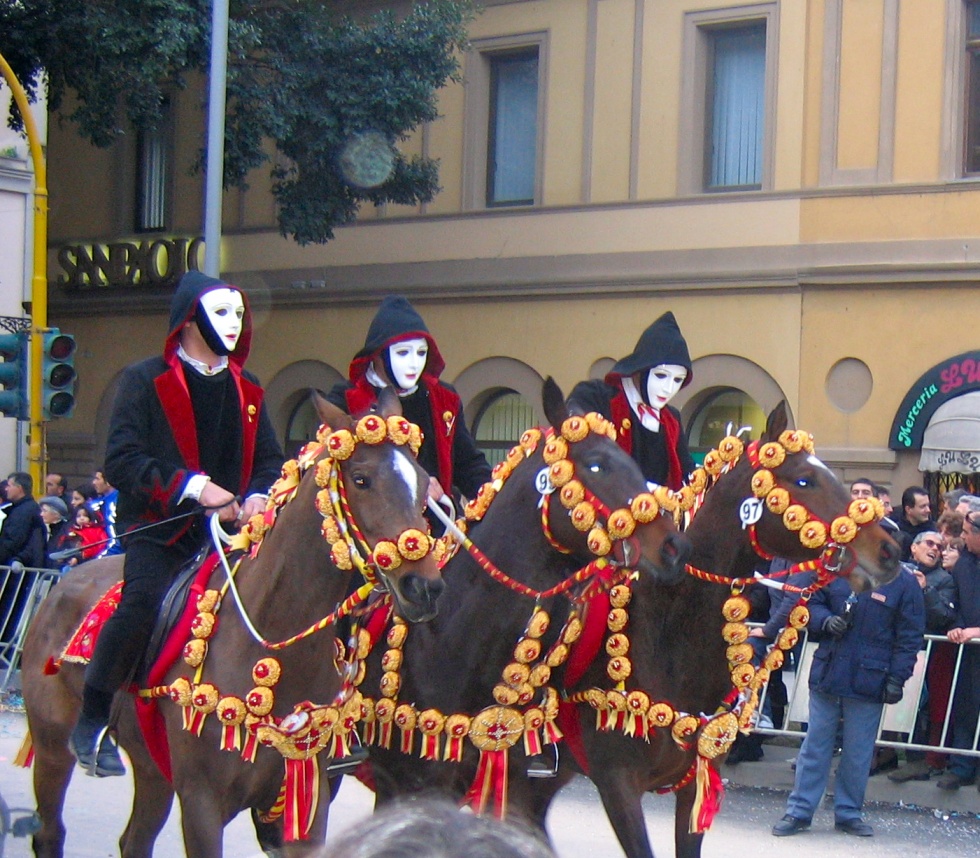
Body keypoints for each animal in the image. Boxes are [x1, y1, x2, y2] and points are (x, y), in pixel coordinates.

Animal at [20, 389, 446, 858]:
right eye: (361, 479)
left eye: (422, 482)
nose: (423, 587)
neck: (273, 644)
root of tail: (60, 583)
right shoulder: (203, 802)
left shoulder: (306, 803)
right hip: (52, 747)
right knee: (51, 830)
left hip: (152, 770)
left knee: (134, 840)